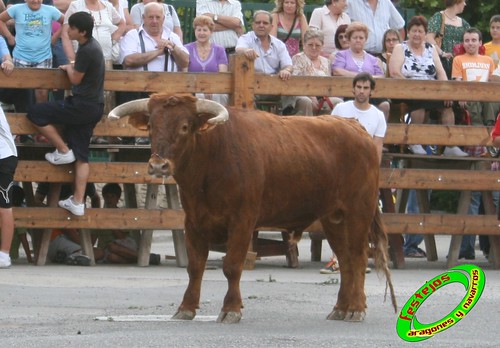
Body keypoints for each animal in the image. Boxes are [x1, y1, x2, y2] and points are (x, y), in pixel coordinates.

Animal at [108, 93, 394, 324]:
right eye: (151, 127)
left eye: (185, 127)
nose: (159, 166)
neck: (212, 159)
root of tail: (355, 127)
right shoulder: (194, 222)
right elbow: (195, 267)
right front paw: (186, 308)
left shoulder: (242, 220)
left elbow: (232, 265)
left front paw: (231, 310)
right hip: (333, 218)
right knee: (345, 261)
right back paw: (340, 309)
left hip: (358, 212)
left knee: (357, 258)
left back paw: (356, 309)